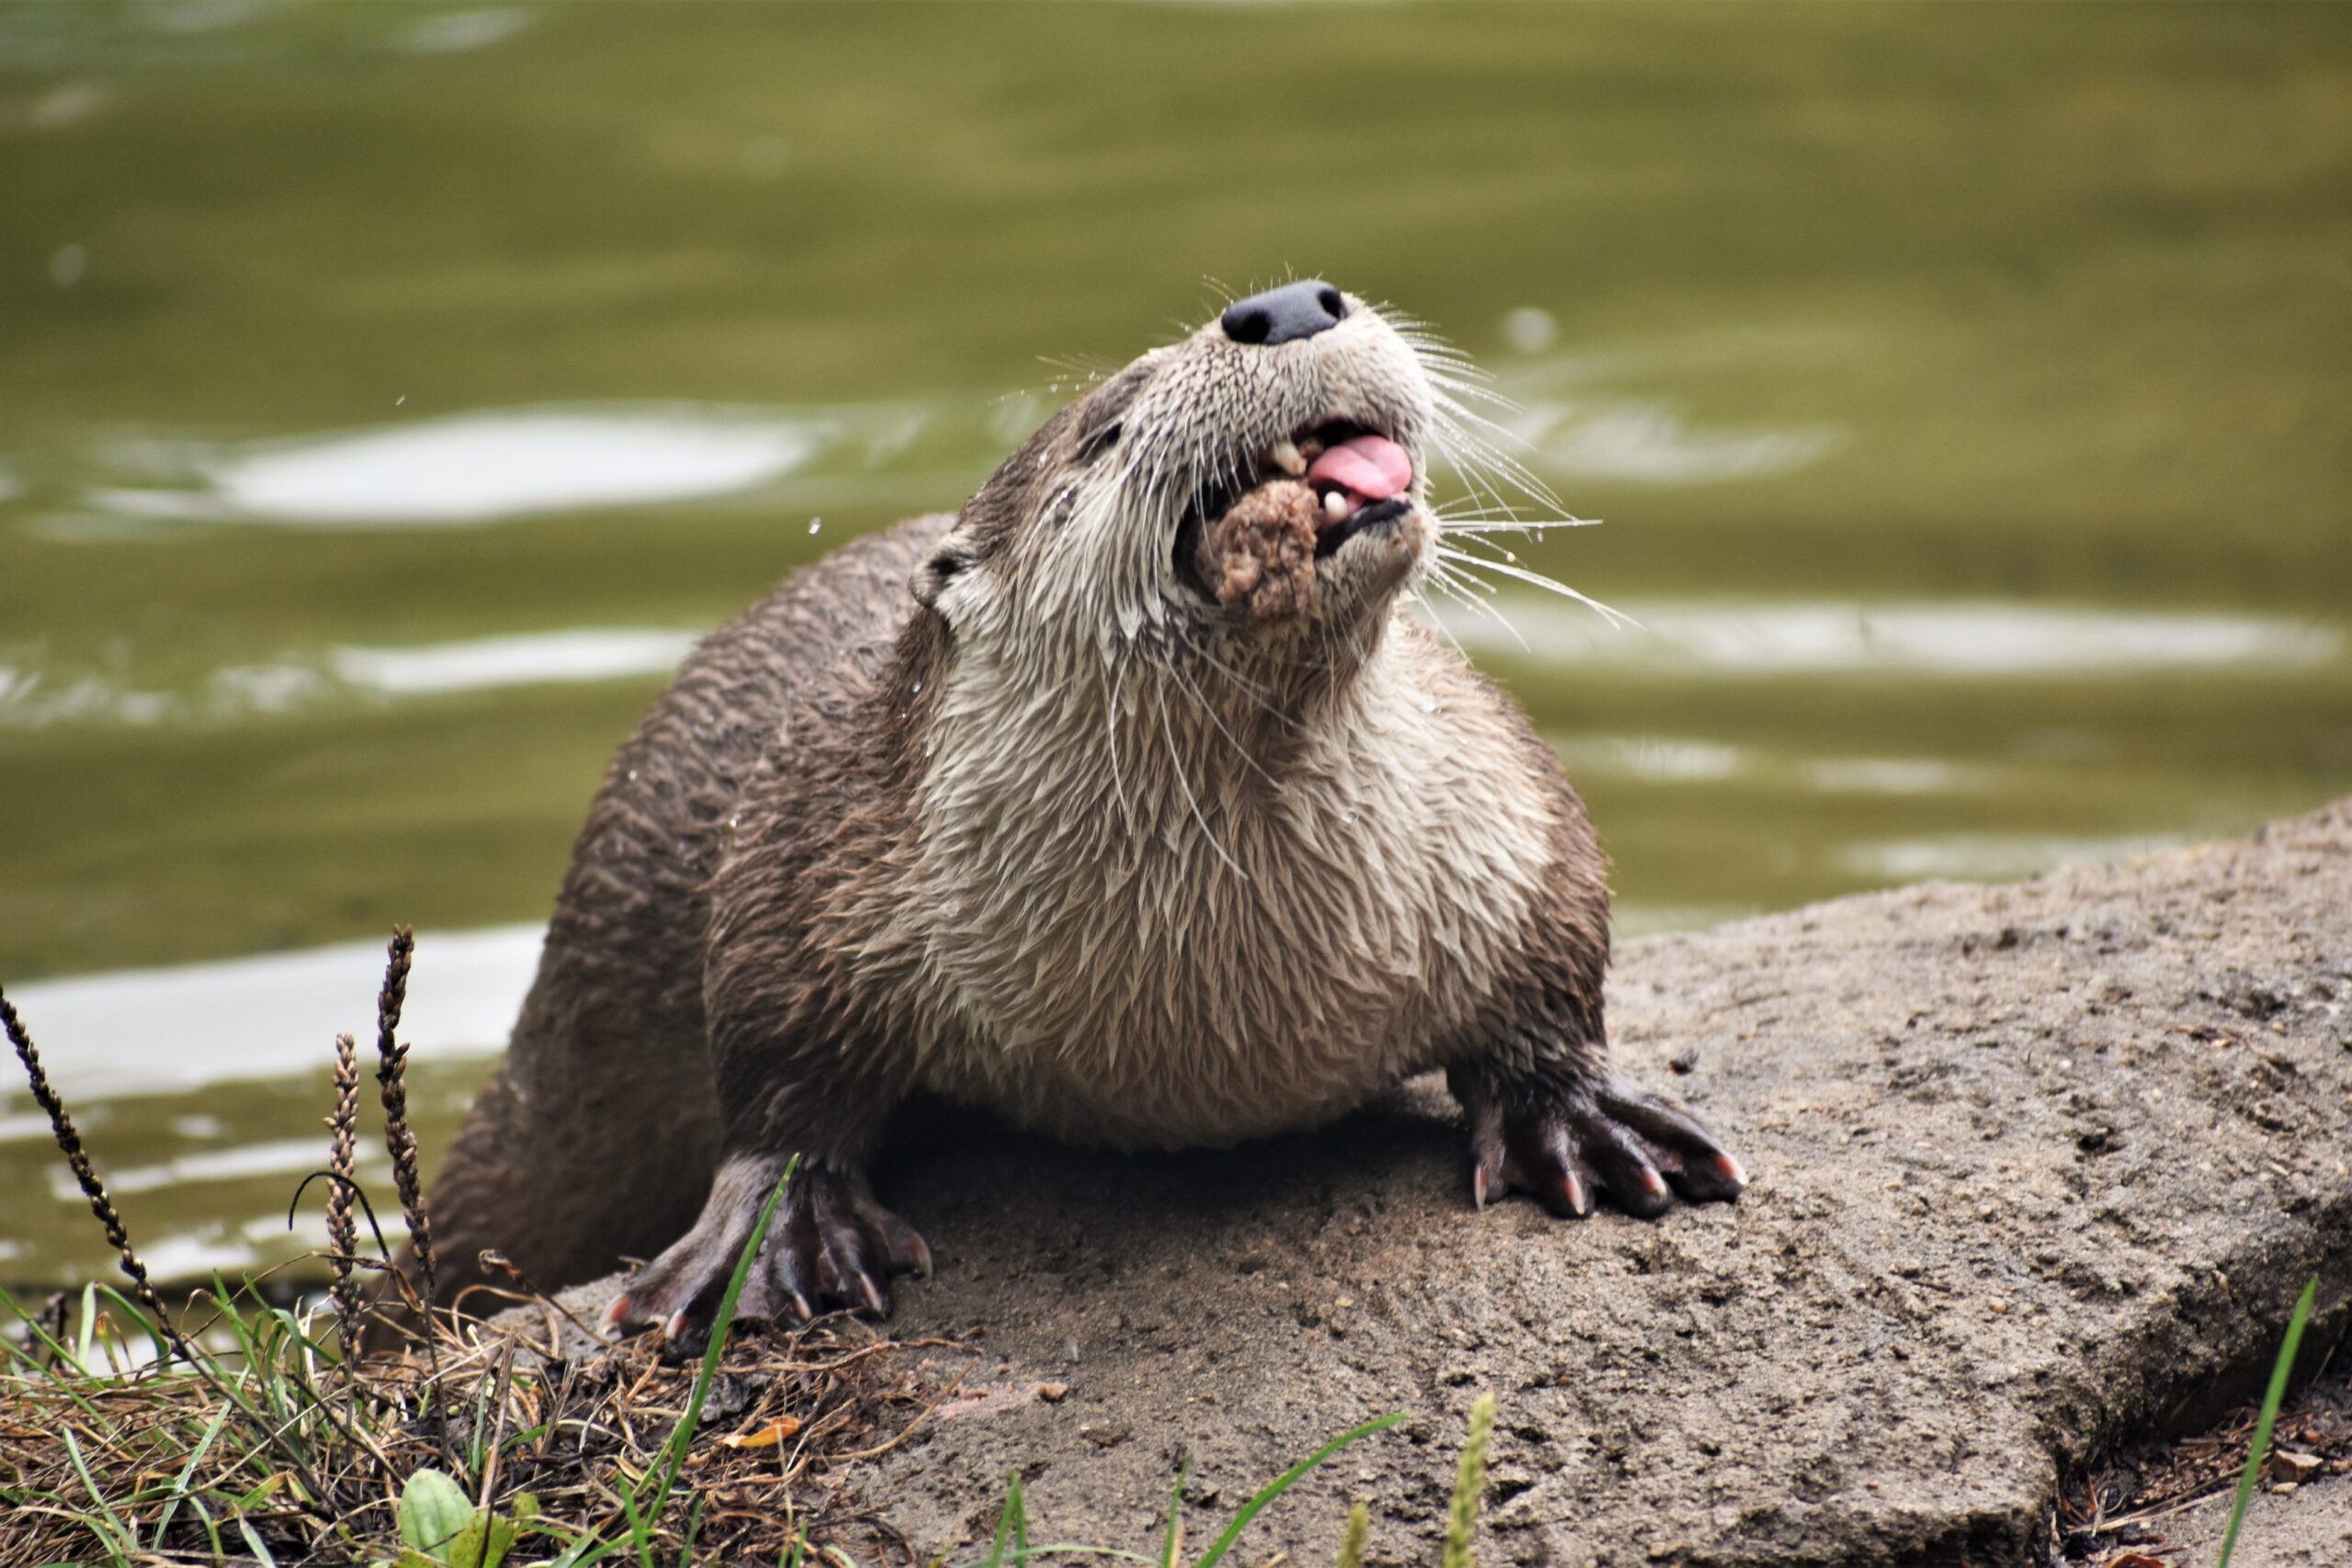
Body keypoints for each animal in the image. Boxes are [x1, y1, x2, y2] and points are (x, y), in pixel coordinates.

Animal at [424, 281, 1744, 1346]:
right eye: (1110, 419)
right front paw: (773, 1232)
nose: (1284, 303)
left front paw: (1577, 1118)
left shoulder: (1500, 802)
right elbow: (773, 1058)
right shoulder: (815, 836)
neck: (1225, 975)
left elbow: (1554, 950)